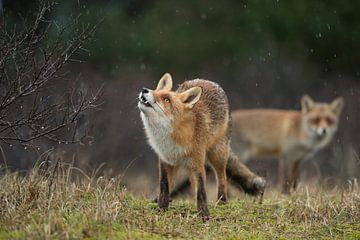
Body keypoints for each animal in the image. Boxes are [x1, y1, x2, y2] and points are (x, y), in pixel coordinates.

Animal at [137, 73, 264, 221]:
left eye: (166, 99)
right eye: (156, 91)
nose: (144, 90)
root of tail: (209, 81)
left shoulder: (197, 162)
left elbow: (202, 191)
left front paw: (204, 215)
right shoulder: (165, 160)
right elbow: (164, 186)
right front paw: (161, 208)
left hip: (217, 155)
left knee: (222, 177)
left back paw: (222, 202)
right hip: (183, 166)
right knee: (180, 184)